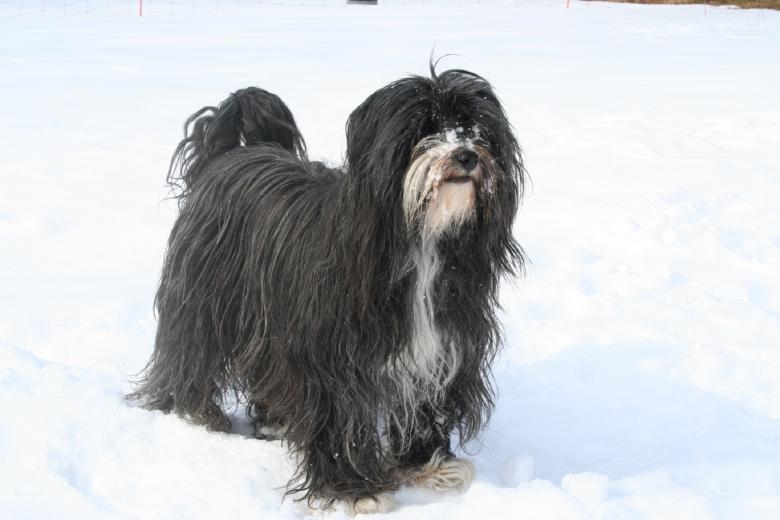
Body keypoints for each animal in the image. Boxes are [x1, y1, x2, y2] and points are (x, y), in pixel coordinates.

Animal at [129, 64, 524, 512]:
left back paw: (274, 420)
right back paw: (197, 412)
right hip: (206, 298)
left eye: (475, 128)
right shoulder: (334, 358)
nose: (467, 155)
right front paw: (356, 489)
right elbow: (340, 421)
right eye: (425, 127)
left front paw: (428, 465)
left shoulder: (438, 347)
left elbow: (422, 405)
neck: (420, 240)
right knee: (193, 350)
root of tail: (228, 154)